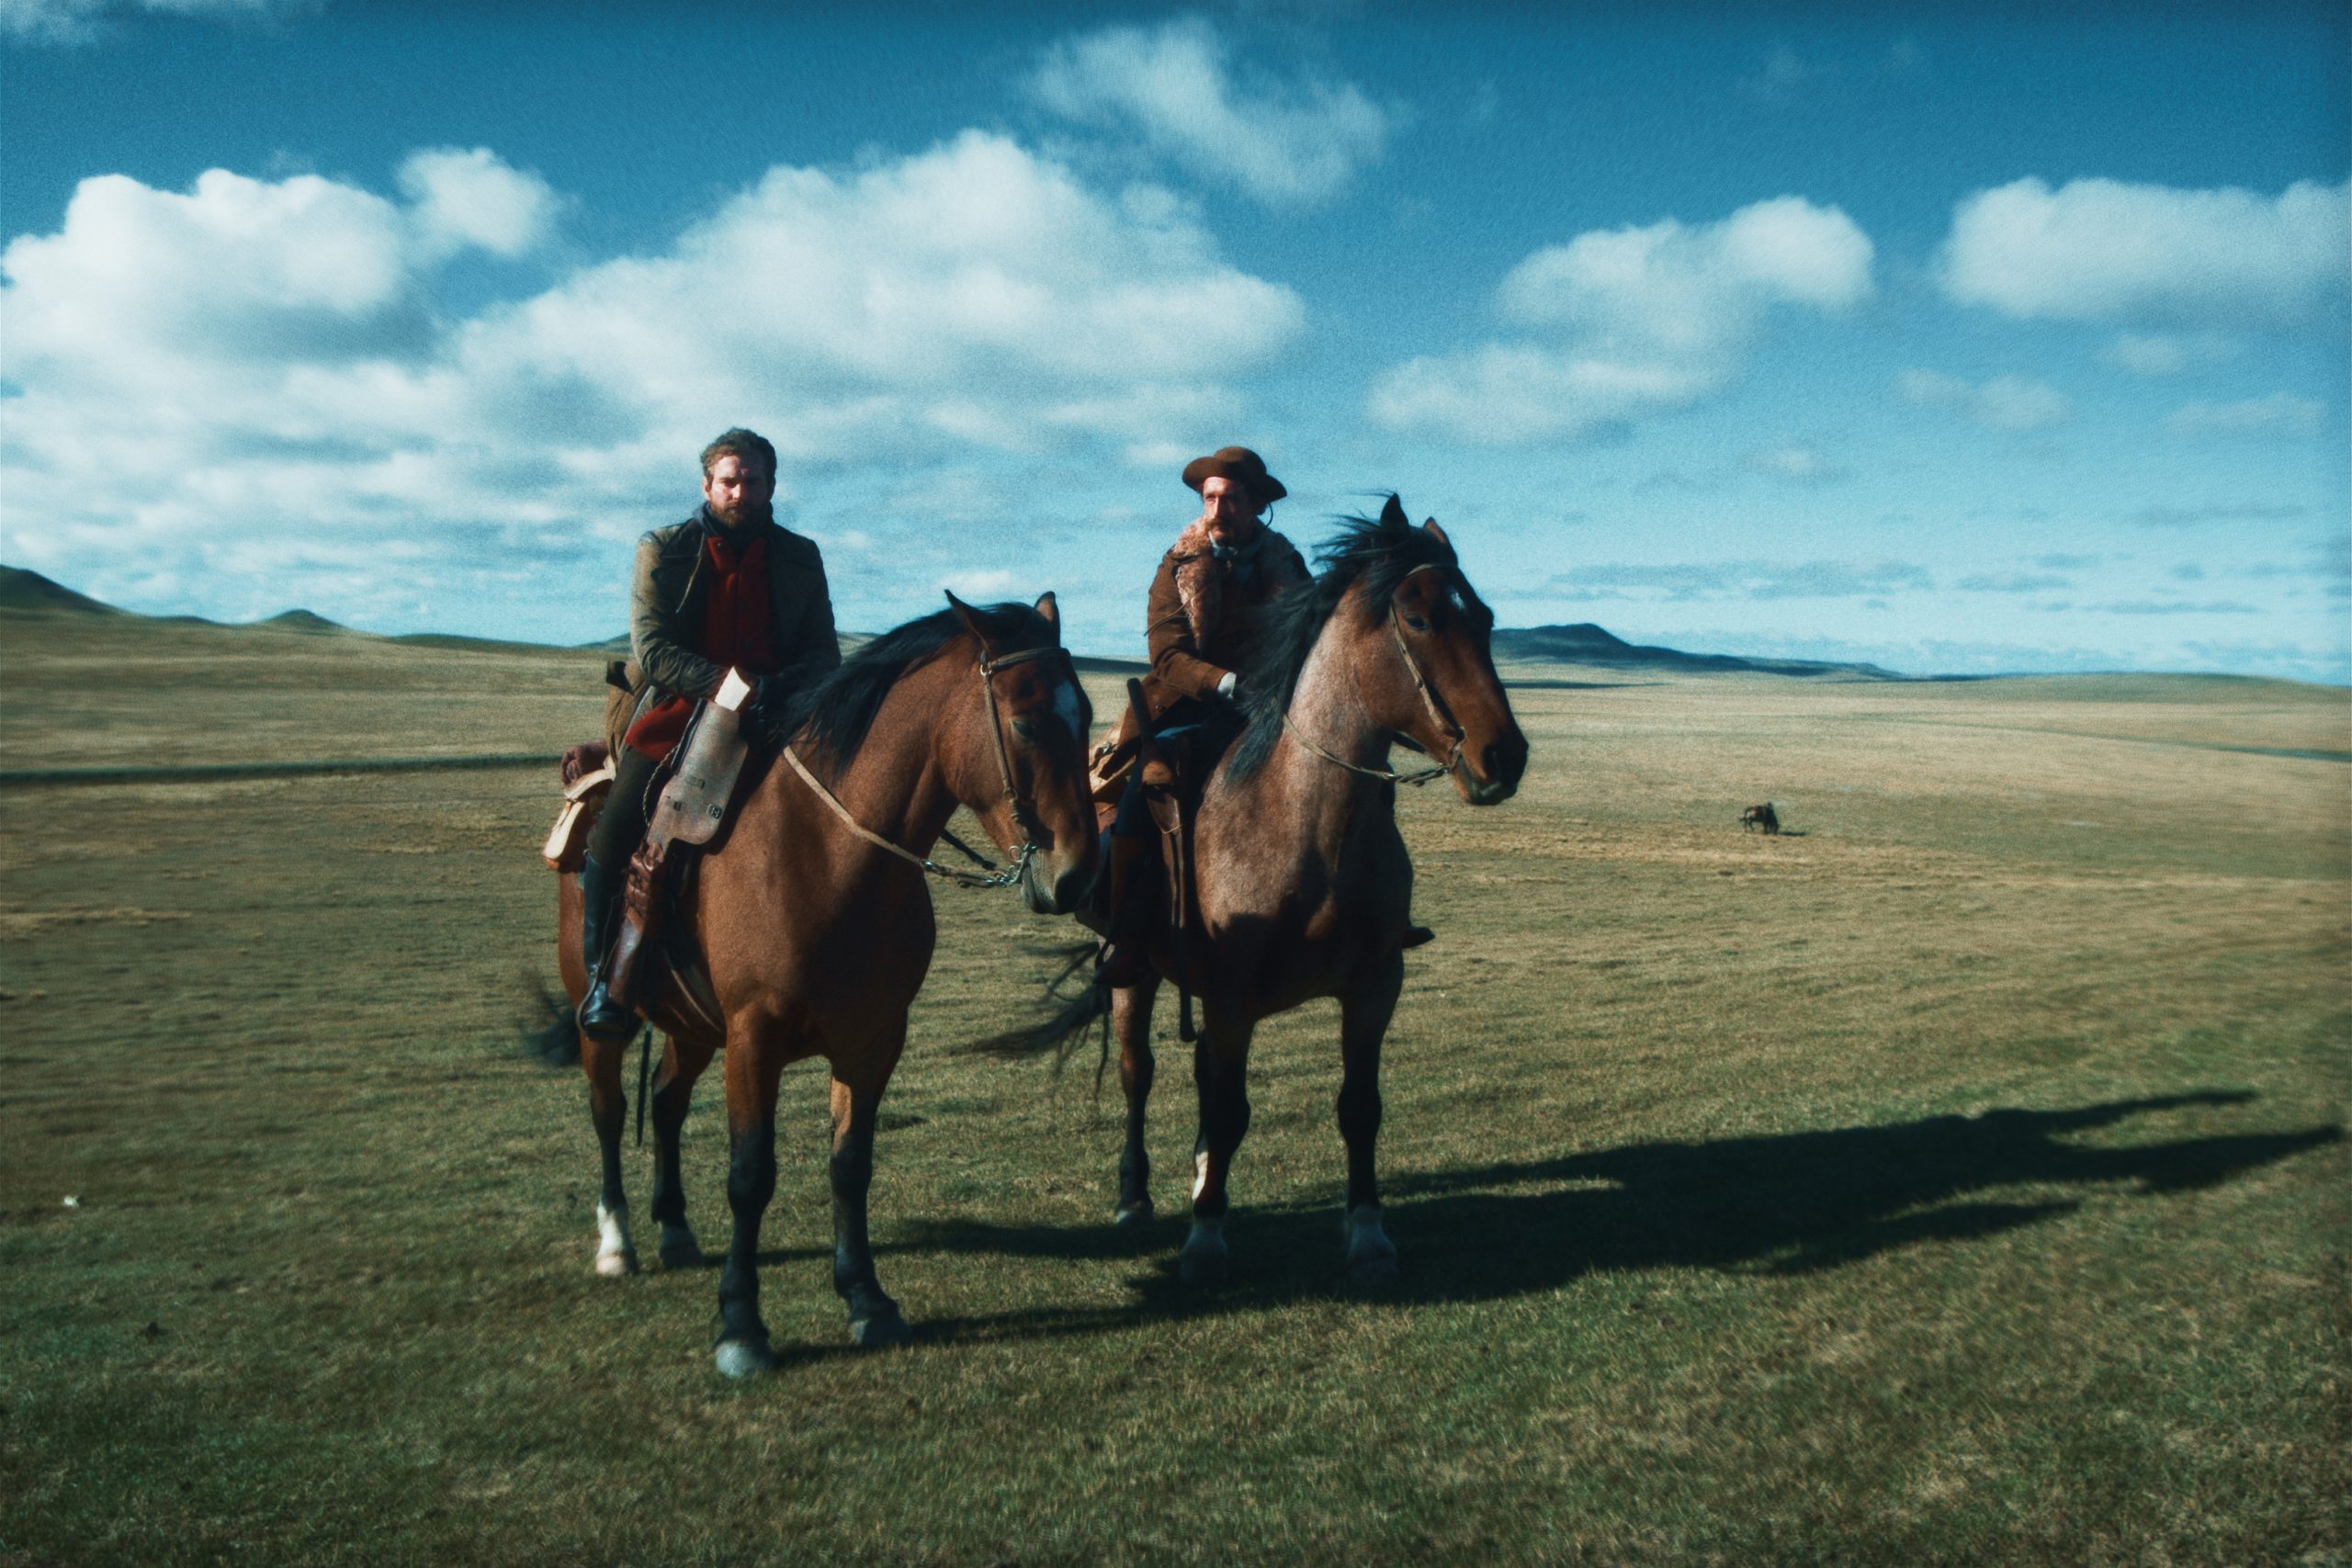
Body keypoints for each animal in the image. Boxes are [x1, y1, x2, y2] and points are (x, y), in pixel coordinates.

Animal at [555, 587, 1095, 1372]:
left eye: (1085, 713)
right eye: (1025, 721)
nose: (1079, 875)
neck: (831, 850)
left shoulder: (872, 1039)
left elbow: (850, 1164)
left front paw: (867, 1299)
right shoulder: (755, 1035)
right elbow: (750, 1176)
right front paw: (740, 1325)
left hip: (693, 1024)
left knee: (664, 1101)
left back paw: (675, 1229)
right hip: (603, 1013)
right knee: (609, 1106)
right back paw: (618, 1241)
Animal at [992, 501, 1523, 1288]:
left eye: (1484, 618)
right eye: (1421, 619)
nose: (1504, 756)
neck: (1305, 824)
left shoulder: (1374, 984)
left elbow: (1358, 1106)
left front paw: (1368, 1233)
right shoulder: (1231, 995)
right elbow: (1229, 1106)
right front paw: (1205, 1238)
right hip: (1133, 972)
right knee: (1138, 1072)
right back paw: (1136, 1194)